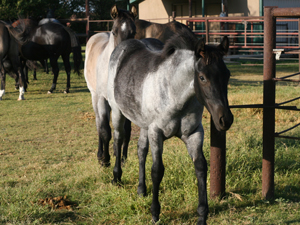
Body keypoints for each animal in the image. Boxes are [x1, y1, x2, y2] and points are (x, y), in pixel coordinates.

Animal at [107, 30, 234, 225]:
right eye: (202, 77)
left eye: (227, 75)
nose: (225, 120)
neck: (175, 95)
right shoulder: (156, 132)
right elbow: (157, 170)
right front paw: (155, 213)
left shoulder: (194, 133)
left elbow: (200, 167)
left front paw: (202, 215)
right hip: (117, 112)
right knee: (119, 139)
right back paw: (116, 177)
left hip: (144, 124)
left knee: (141, 150)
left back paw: (141, 189)